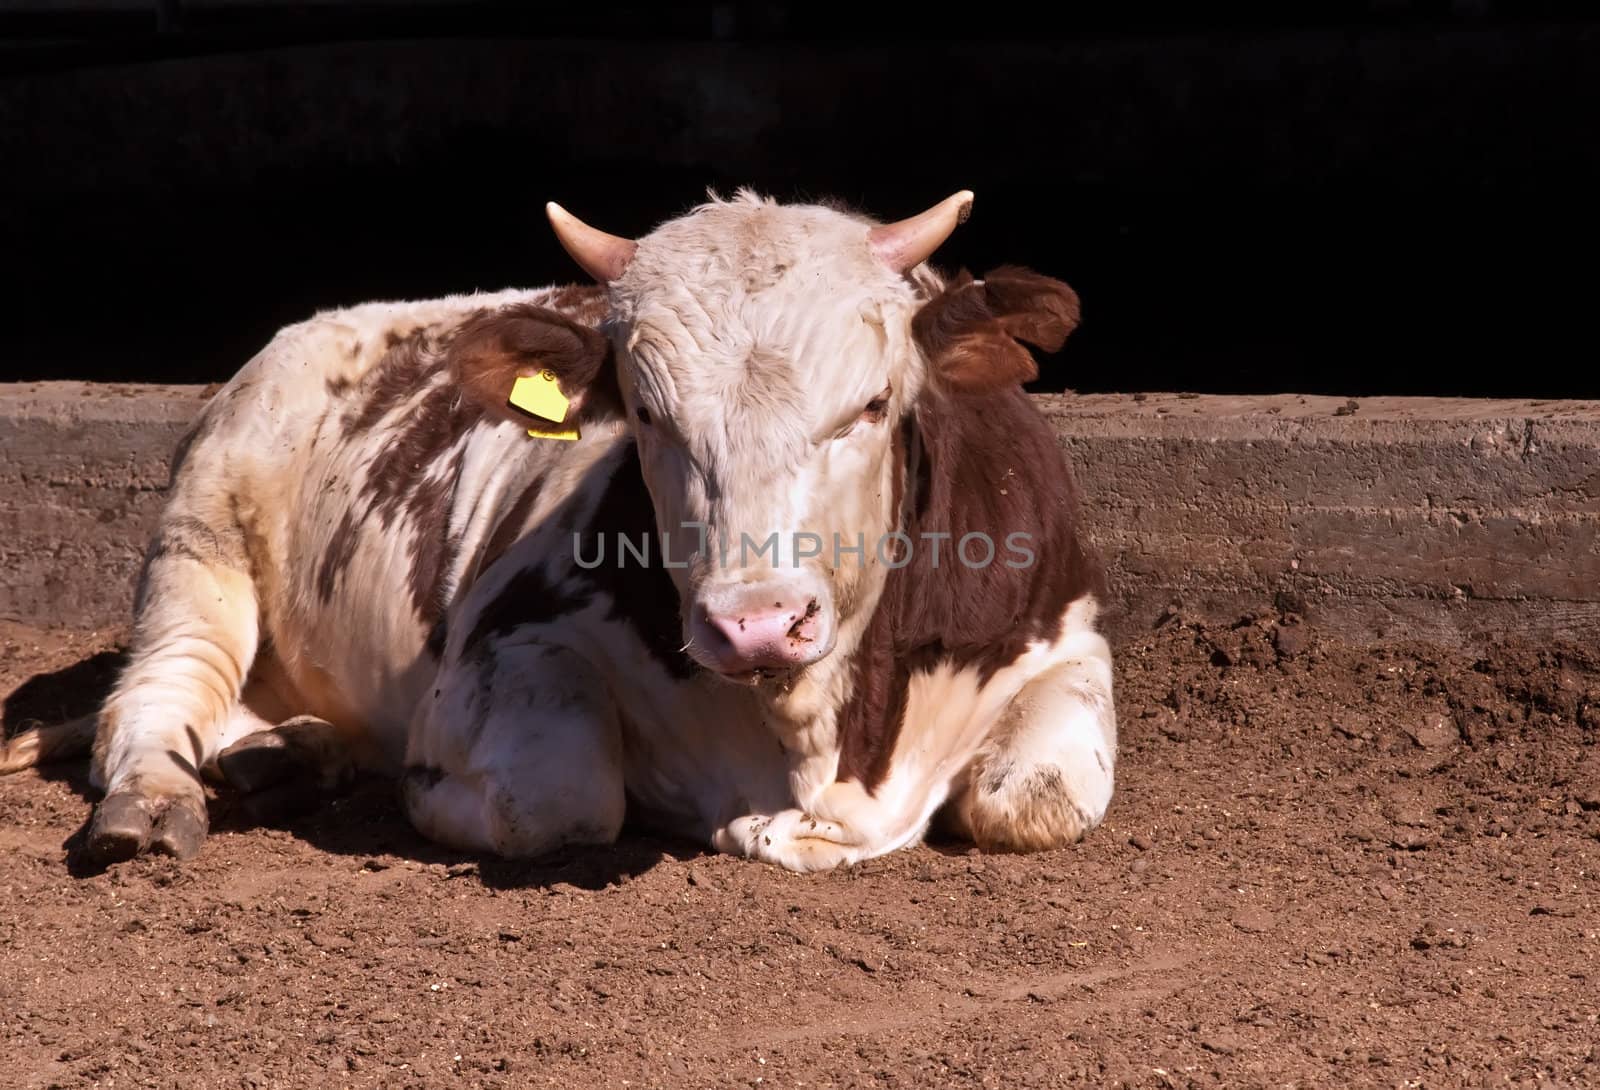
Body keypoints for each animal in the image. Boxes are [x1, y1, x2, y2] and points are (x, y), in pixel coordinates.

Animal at [0, 187, 1120, 864]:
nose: (756, 623)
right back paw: (154, 802)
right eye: (648, 412)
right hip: (201, 541)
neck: (817, 741)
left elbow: (1035, 799)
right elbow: (558, 800)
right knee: (153, 698)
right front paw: (428, 788)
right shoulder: (506, 641)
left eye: (876, 404)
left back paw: (294, 754)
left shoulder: (1067, 643)